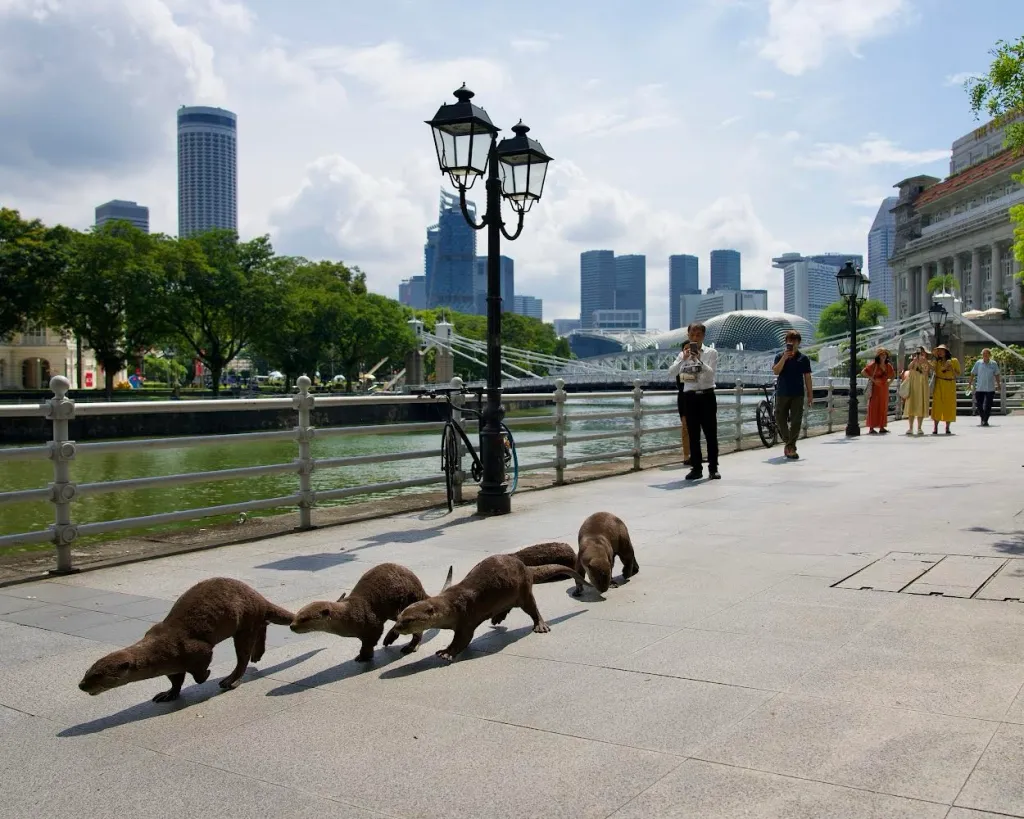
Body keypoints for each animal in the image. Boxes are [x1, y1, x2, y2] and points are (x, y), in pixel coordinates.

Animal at [78, 577, 294, 702]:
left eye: (98, 675)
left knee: (243, 657)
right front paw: (169, 694)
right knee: (263, 626)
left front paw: (205, 676)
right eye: (87, 672)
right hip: (250, 621)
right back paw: (257, 655)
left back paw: (230, 681)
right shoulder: (172, 665)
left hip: (244, 622)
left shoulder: (195, 650)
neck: (159, 651)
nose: (81, 685)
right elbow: (176, 679)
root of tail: (258, 597)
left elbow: (199, 669)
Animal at [290, 563, 453, 662]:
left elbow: (370, 640)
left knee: (415, 628)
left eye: (304, 619)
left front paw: (364, 656)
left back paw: (408, 646)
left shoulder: (372, 623)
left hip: (404, 602)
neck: (349, 615)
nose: (291, 626)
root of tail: (418, 586)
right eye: (296, 615)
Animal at [392, 554, 584, 661]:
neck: (451, 605)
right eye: (399, 617)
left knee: (533, 609)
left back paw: (540, 626)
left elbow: (462, 639)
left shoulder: (466, 619)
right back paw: (498, 618)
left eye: (408, 620)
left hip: (524, 592)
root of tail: (525, 567)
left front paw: (446, 652)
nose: (396, 628)